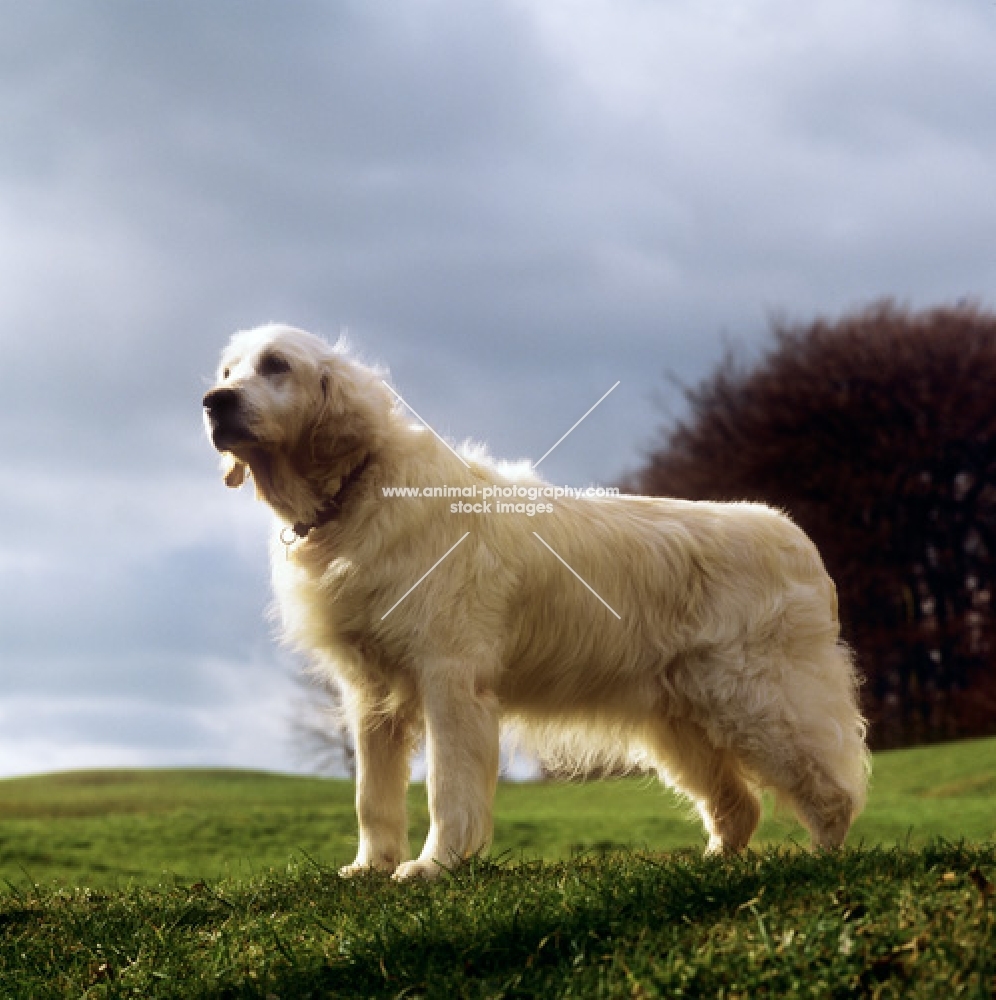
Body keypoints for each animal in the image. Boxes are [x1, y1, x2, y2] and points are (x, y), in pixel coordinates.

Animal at [206, 324, 868, 880]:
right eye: (228, 368)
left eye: (276, 365)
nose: (214, 401)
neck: (358, 489)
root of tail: (795, 536)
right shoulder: (370, 692)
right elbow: (372, 794)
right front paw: (370, 868)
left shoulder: (450, 678)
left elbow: (447, 787)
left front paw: (434, 867)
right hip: (682, 722)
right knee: (739, 806)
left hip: (760, 703)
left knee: (831, 790)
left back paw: (823, 860)